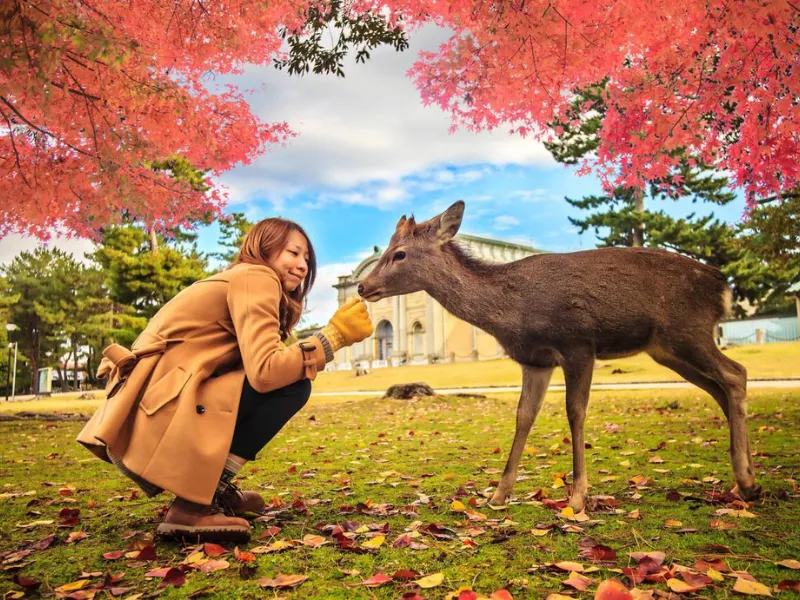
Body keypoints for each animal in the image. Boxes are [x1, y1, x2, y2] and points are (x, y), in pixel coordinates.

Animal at [357, 200, 759, 511]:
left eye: (400, 253)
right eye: (389, 248)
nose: (362, 286)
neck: (513, 311)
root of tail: (723, 285)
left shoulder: (578, 343)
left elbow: (575, 411)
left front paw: (578, 496)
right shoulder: (535, 360)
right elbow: (523, 415)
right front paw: (498, 494)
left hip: (688, 331)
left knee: (736, 373)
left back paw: (745, 478)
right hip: (666, 349)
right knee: (720, 388)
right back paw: (747, 482)